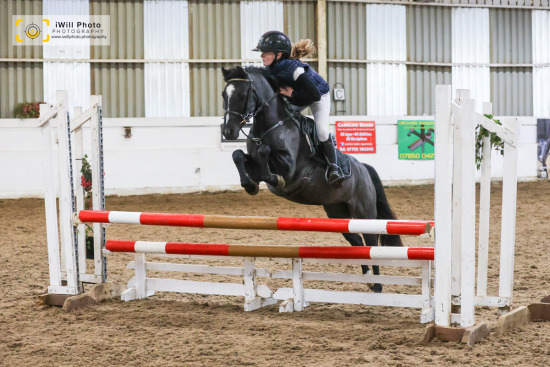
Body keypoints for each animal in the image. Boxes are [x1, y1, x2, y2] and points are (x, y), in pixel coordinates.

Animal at [222, 66, 404, 294]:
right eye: (224, 95)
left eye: (241, 94)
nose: (228, 131)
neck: (270, 126)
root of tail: (363, 168)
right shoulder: (253, 162)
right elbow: (238, 155)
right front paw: (249, 186)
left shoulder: (290, 168)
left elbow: (267, 156)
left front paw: (272, 179)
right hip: (337, 214)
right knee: (356, 241)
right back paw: (368, 278)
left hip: (364, 213)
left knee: (371, 242)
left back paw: (378, 285)